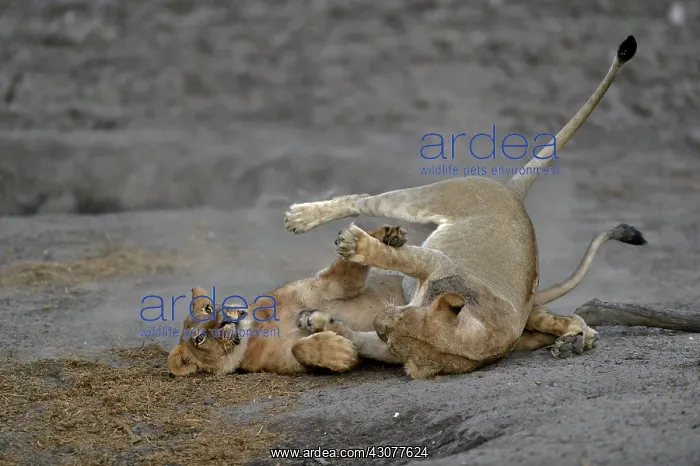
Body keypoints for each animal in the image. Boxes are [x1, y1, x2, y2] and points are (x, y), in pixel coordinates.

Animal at [283, 36, 642, 379]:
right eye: (404, 314)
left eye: (393, 333)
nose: (380, 319)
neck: (478, 333)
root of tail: (512, 194)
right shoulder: (439, 265)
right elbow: (395, 258)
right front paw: (358, 248)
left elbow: (357, 338)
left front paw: (319, 321)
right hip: (434, 197)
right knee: (362, 200)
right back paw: (304, 218)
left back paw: (575, 340)